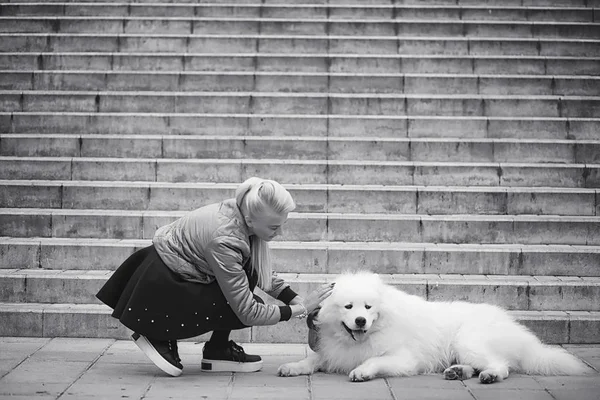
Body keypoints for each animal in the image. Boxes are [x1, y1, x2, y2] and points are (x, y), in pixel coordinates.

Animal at [278, 274, 588, 382]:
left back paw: (488, 376)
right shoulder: (334, 352)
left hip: (469, 340)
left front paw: (362, 372)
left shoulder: (404, 359)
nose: (361, 321)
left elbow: (375, 361)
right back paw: (456, 372)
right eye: (348, 307)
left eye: (368, 307)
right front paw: (291, 367)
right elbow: (312, 359)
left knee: (501, 365)